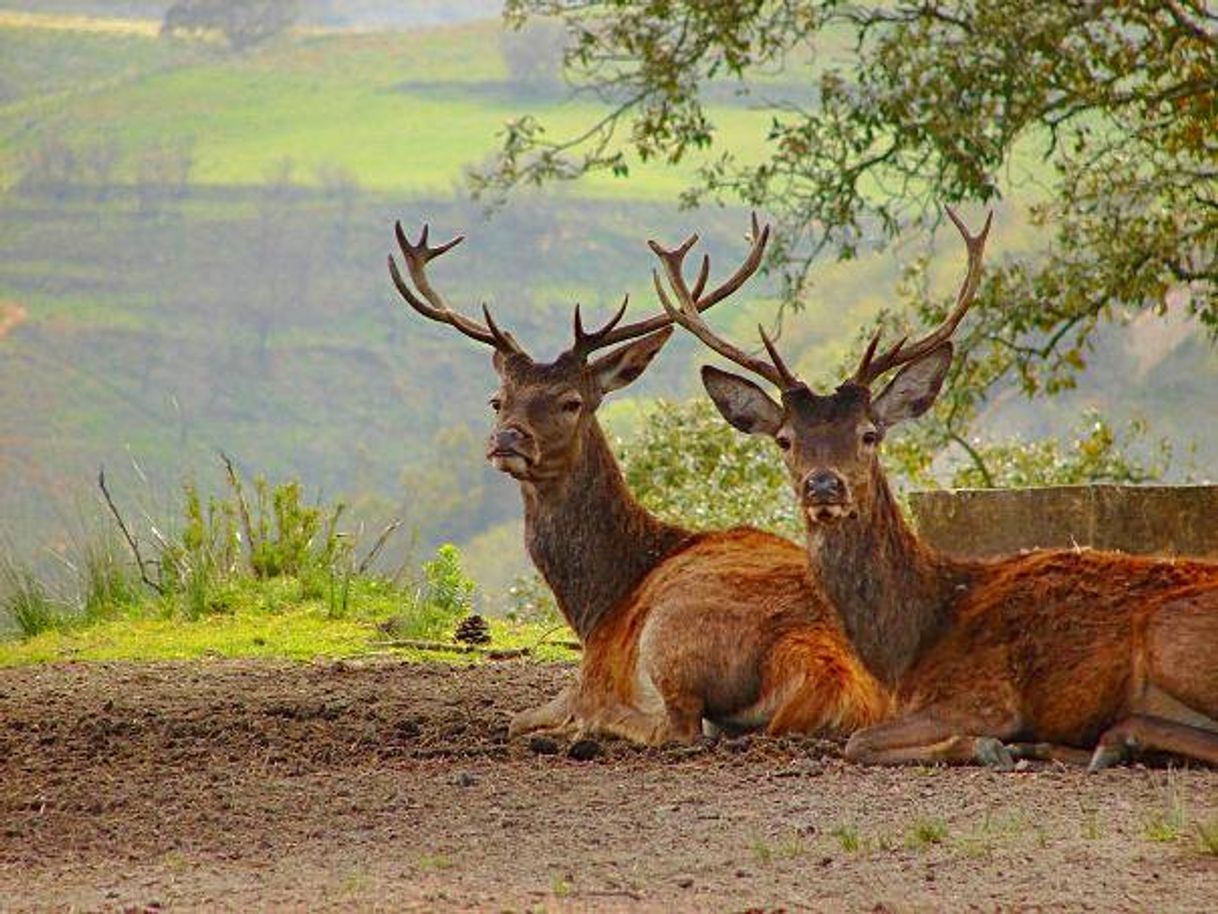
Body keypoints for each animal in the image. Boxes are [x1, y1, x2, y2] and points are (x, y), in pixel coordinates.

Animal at [384, 218, 891, 745]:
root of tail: (830, 676)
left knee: (678, 726)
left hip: (671, 634)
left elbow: (517, 717)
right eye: (497, 401)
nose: (506, 439)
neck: (599, 603)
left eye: (571, 401)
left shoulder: (593, 664)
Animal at [662, 207, 1218, 775]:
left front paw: (985, 746)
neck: (910, 645)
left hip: (1167, 635)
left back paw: (1111, 740)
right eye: (785, 439)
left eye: (869, 433)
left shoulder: (982, 695)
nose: (823, 484)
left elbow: (858, 742)